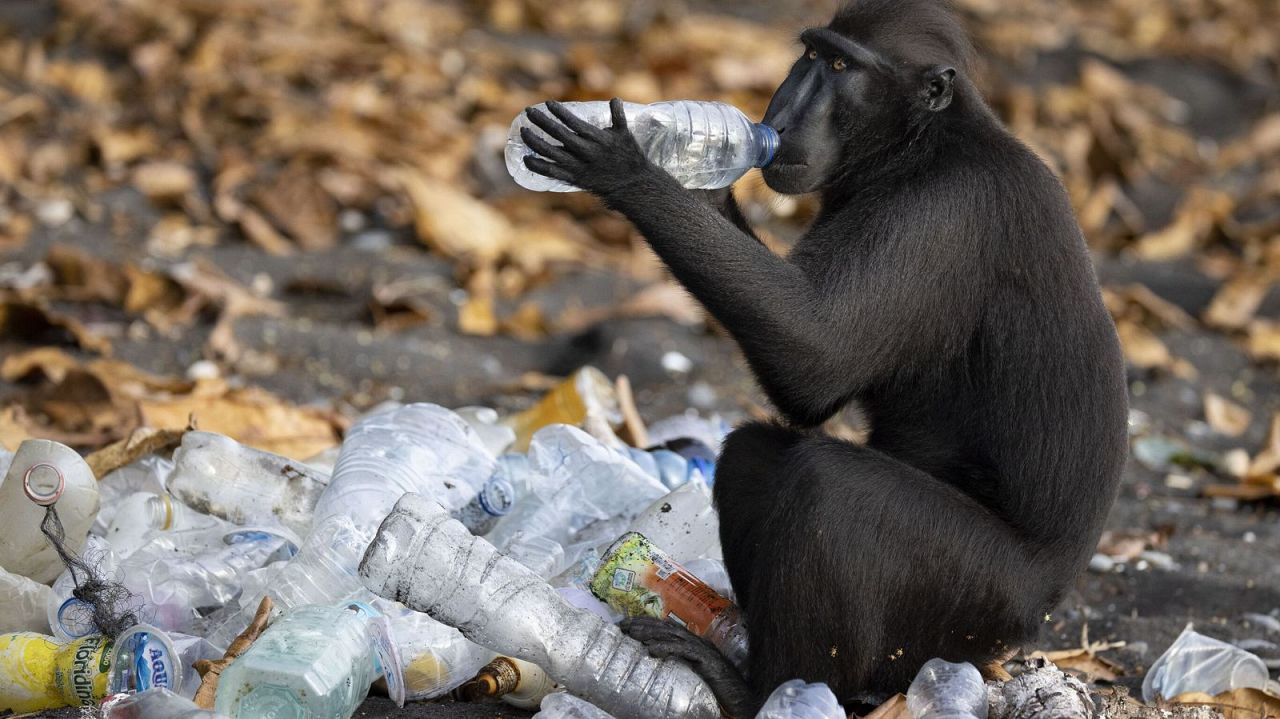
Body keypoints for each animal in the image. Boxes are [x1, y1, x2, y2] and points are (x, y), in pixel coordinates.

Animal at [514, 0, 1126, 711]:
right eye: (809, 55)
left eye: (839, 67)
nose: (779, 116)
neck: (918, 146)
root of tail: (1037, 616)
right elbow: (807, 394)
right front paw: (698, 171)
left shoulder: (945, 211)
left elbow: (817, 357)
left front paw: (636, 168)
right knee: (756, 452)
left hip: (981, 601)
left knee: (828, 487)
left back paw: (760, 691)